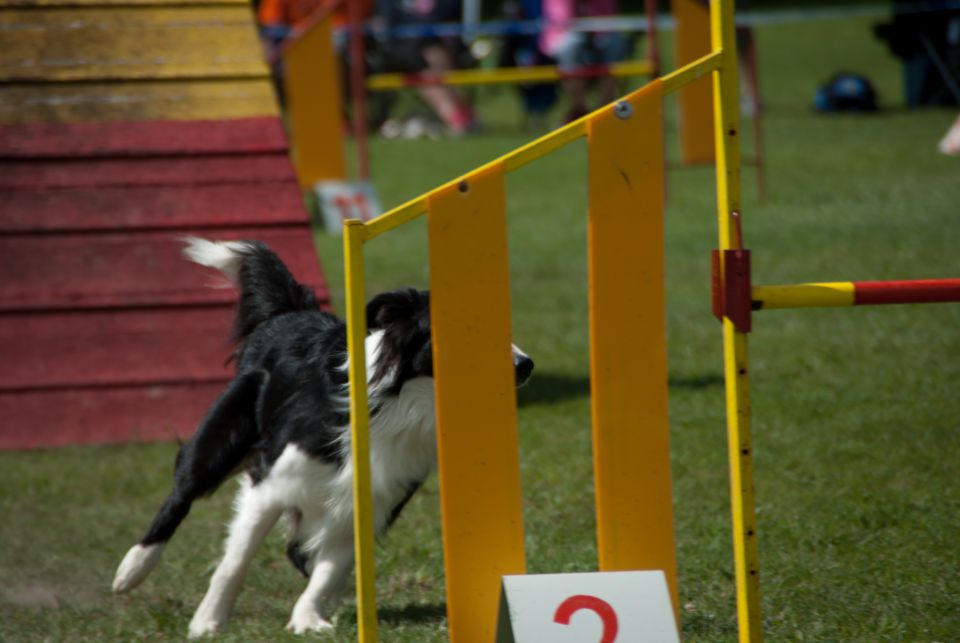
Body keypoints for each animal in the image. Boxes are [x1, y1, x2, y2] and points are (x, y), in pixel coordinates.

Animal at [113, 238, 536, 640]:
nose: (526, 366)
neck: (399, 406)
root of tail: (291, 313)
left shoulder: (371, 498)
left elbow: (330, 567)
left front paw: (307, 619)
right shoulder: (271, 481)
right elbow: (235, 559)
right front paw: (207, 623)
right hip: (219, 441)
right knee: (180, 494)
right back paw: (131, 570)